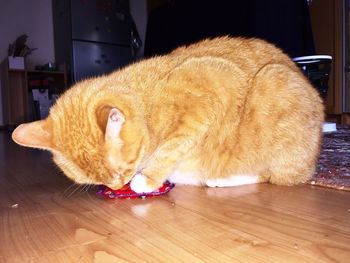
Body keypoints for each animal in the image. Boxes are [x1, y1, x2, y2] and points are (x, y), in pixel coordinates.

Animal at [13, 37, 326, 193]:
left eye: (123, 171)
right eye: (96, 182)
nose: (118, 186)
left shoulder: (211, 85)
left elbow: (171, 147)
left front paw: (146, 180)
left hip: (273, 81)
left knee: (271, 176)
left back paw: (220, 179)